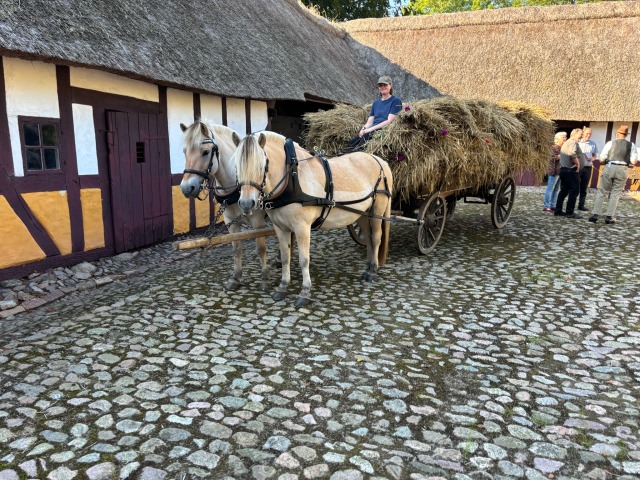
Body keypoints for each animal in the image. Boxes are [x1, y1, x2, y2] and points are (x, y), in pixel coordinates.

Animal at [180, 122, 270, 290]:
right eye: (184, 152)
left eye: (205, 152)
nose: (186, 188)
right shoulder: (230, 222)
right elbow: (236, 248)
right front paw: (236, 278)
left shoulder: (258, 222)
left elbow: (261, 249)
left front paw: (265, 279)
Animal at [234, 129, 392, 306]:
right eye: (236, 166)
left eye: (262, 167)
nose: (246, 204)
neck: (292, 178)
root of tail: (379, 160)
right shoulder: (280, 228)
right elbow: (285, 257)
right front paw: (282, 287)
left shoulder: (302, 227)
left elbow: (304, 259)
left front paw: (305, 292)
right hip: (361, 214)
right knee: (369, 239)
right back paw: (368, 268)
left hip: (377, 210)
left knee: (376, 238)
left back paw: (372, 272)